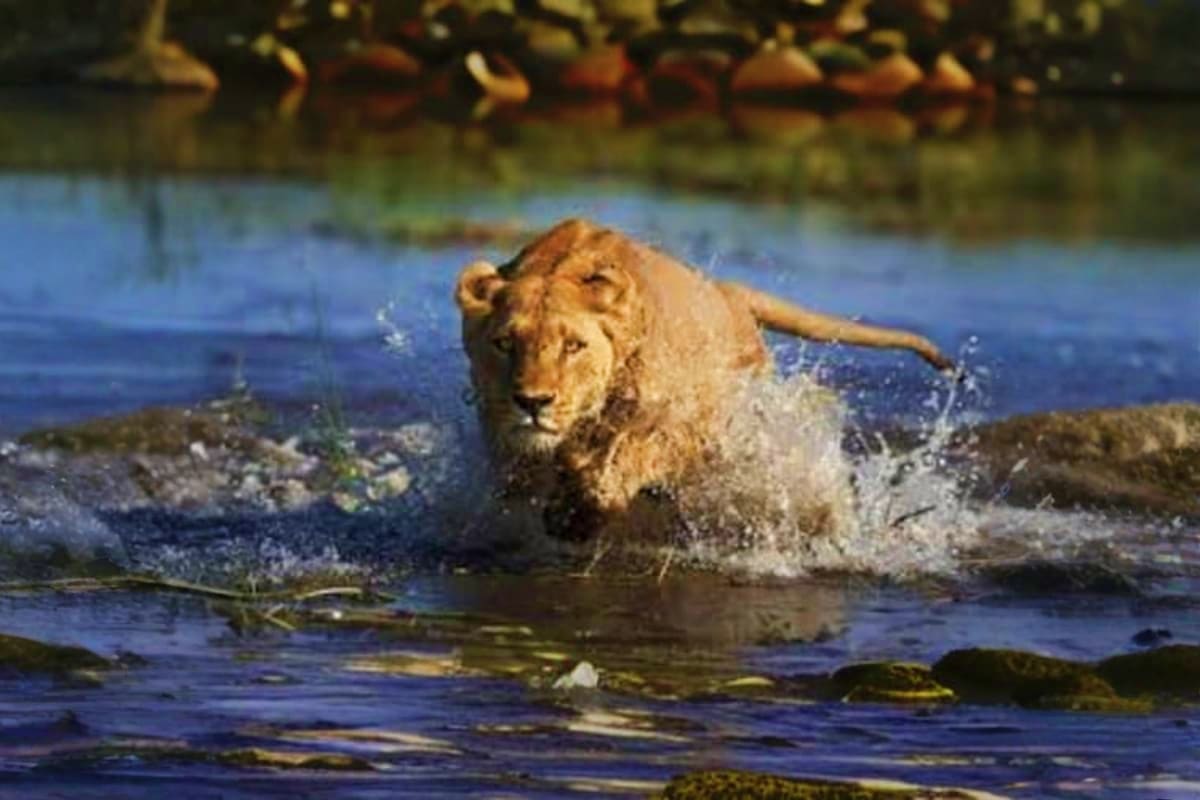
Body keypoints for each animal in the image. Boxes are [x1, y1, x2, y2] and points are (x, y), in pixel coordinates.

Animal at [456, 218, 953, 541]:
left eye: (574, 346)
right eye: (504, 343)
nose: (532, 402)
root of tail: (728, 293)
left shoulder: (691, 427)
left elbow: (631, 455)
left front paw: (578, 512)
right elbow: (527, 476)